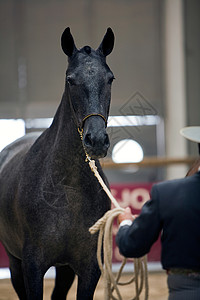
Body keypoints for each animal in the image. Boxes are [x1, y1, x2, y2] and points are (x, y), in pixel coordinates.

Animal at [0, 27, 114, 298]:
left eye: (110, 79)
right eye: (70, 80)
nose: (96, 140)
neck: (67, 188)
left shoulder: (89, 268)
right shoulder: (32, 267)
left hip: (64, 269)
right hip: (14, 262)